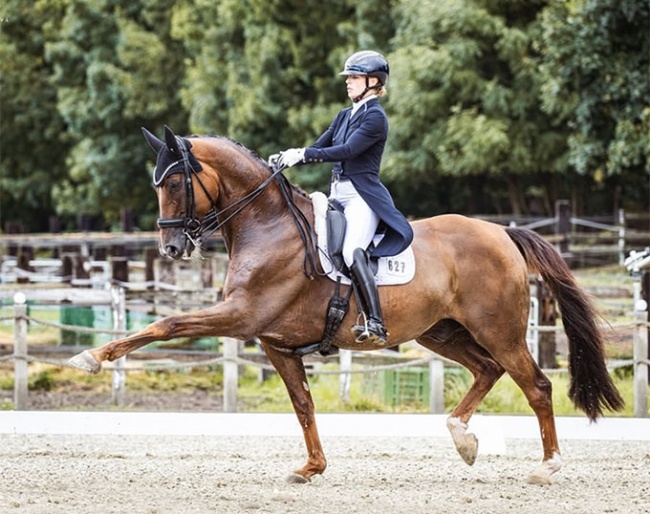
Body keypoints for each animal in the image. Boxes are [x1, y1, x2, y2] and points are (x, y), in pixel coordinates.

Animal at [69, 125, 624, 485]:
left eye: (174, 182)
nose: (171, 249)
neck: (266, 225)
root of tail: (502, 232)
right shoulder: (274, 342)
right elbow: (303, 405)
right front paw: (311, 468)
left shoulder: (241, 317)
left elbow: (167, 323)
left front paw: (92, 357)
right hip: (440, 332)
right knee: (488, 371)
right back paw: (463, 439)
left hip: (499, 329)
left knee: (536, 385)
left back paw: (547, 466)